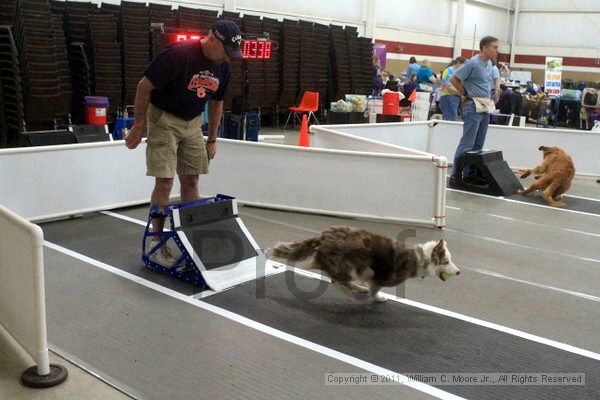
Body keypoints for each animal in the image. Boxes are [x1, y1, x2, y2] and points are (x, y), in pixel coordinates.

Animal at [268, 225, 460, 304]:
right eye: (447, 262)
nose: (459, 272)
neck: (419, 259)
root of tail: (323, 236)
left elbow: (369, 286)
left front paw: (365, 288)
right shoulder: (380, 278)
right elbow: (374, 291)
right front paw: (379, 298)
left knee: (336, 278)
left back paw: (357, 289)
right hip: (347, 266)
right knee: (336, 279)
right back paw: (350, 293)